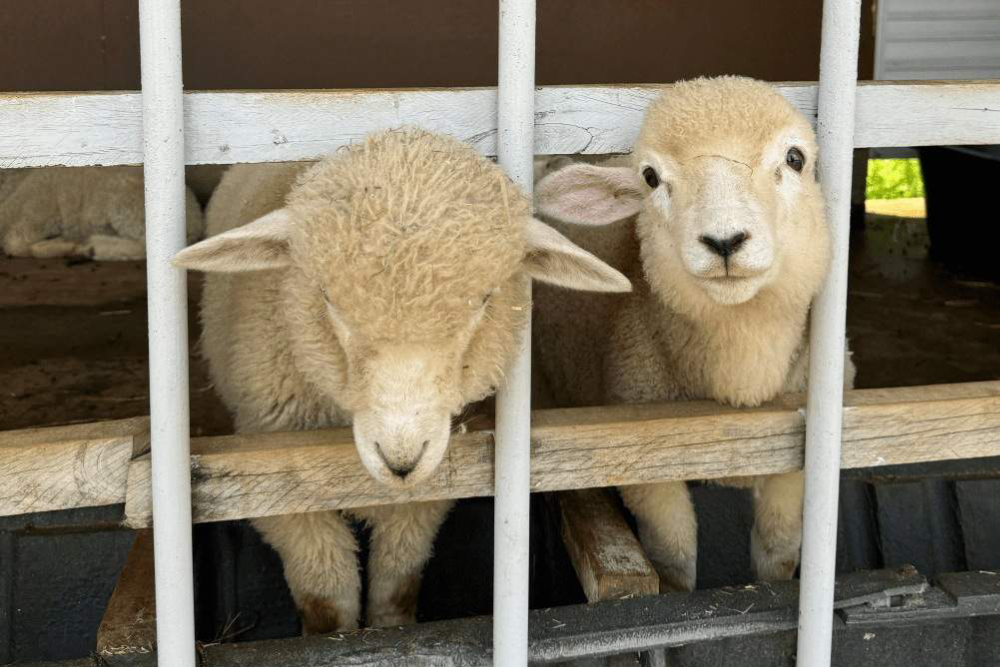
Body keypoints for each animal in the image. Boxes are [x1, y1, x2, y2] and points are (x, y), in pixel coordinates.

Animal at [0, 166, 203, 260]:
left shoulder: (34, 212)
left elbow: (16, 245)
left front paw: (64, 245)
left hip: (125, 205)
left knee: (145, 246)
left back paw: (93, 246)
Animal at [173, 127, 631, 633]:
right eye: (328, 299)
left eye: (484, 301)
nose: (401, 461)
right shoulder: (278, 490)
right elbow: (326, 600)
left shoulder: (425, 496)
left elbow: (396, 585)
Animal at [532, 76, 855, 591]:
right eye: (650, 177)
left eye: (795, 158)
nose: (724, 241)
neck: (739, 388)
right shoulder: (649, 471)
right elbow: (675, 561)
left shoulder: (795, 465)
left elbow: (779, 550)